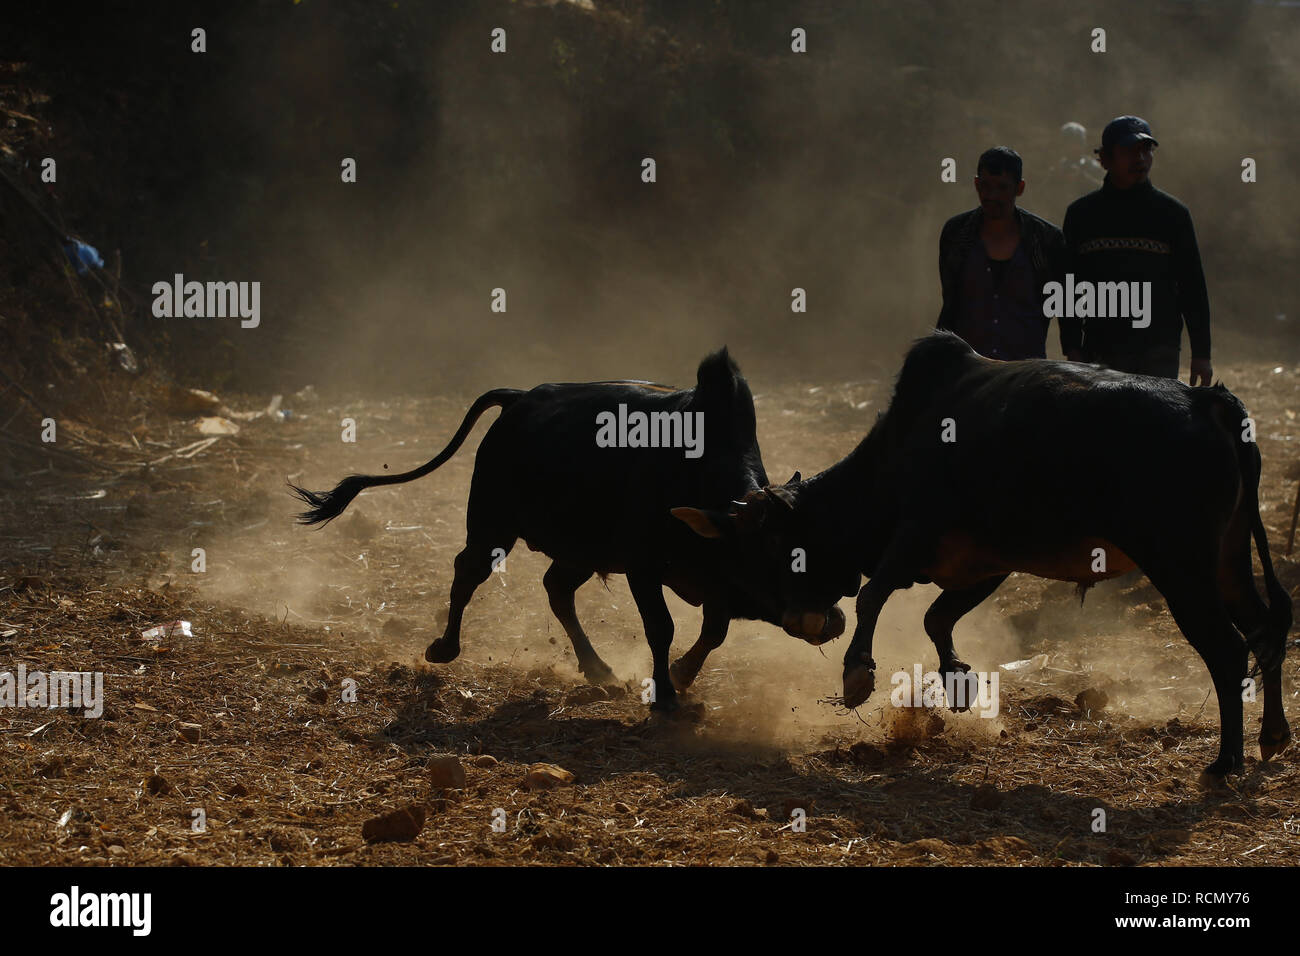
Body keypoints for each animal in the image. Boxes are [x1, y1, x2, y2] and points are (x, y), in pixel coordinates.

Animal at [287, 348, 842, 712]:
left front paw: (681, 676)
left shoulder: (711, 581)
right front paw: (664, 697)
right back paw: (444, 647)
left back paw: (598, 670)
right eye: (775, 553)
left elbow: (715, 630)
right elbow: (662, 628)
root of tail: (519, 398)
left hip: (579, 550)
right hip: (491, 526)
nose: (833, 619)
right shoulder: (642, 567)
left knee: (555, 589)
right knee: (467, 573)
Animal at [681, 332, 1289, 775]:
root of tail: (1208, 400)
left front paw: (857, 673)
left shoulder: (916, 534)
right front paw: (956, 681)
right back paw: (1273, 735)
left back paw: (1225, 762)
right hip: (1229, 562)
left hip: (1182, 570)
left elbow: (875, 596)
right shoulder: (988, 564)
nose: (801, 621)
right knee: (1266, 626)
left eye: (770, 546)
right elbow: (936, 616)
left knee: (1228, 649)